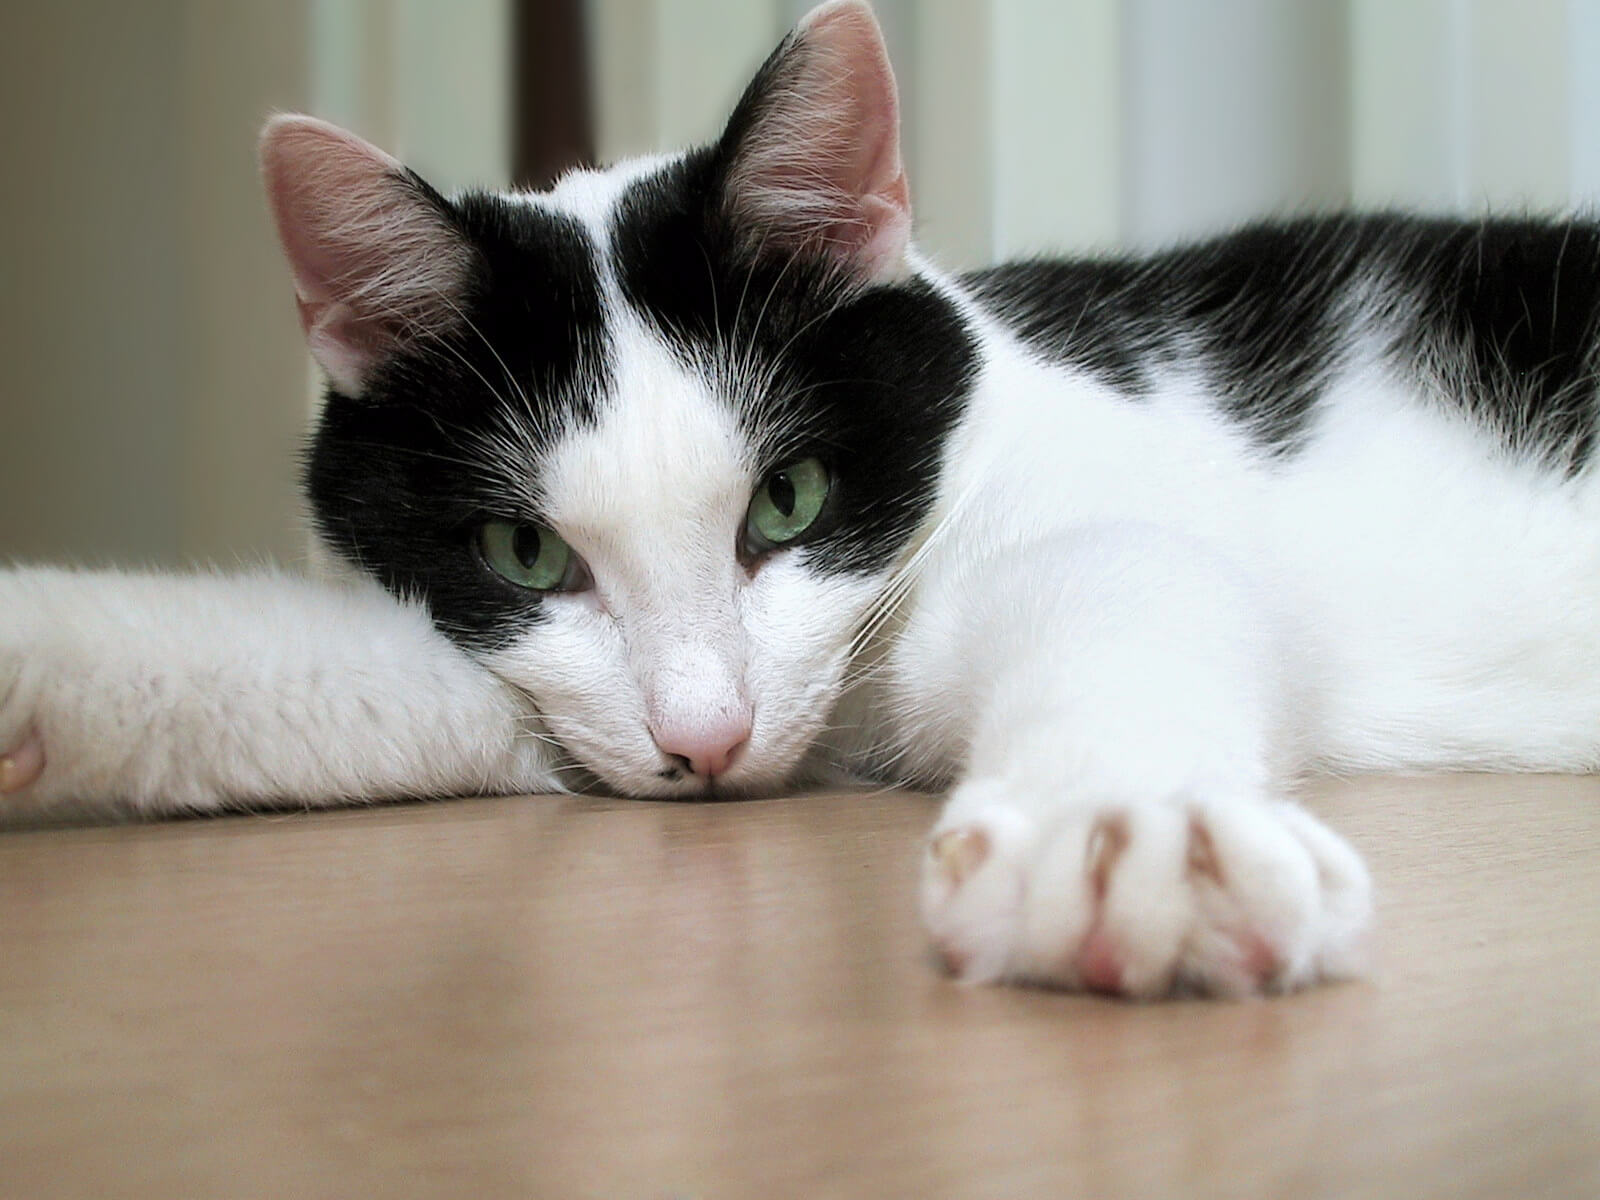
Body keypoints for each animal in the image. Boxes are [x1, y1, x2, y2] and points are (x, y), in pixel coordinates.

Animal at [3, 0, 1600, 998]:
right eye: (523, 550)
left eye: (788, 501)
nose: (705, 743)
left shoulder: (1107, 520)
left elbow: (1133, 593)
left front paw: (1126, 834)